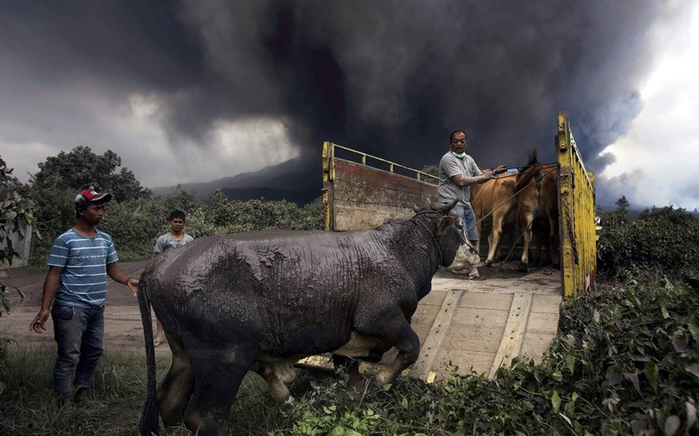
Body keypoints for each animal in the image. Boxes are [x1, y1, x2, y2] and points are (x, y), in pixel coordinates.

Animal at [139, 202, 478, 436]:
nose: (475, 251)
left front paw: (354, 393)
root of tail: (163, 262)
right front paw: (379, 382)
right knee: (205, 419)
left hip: (185, 356)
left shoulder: (348, 335)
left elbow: (349, 369)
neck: (398, 252)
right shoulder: (381, 318)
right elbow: (411, 348)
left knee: (169, 402)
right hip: (226, 361)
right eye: (459, 226)